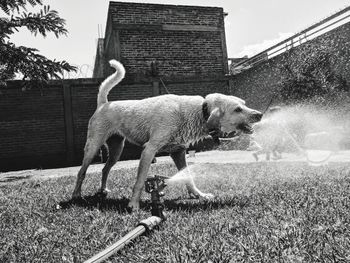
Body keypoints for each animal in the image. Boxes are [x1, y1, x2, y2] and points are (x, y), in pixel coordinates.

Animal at [72, 59, 262, 210]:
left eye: (244, 104)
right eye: (238, 109)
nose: (260, 114)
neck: (199, 111)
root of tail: (104, 103)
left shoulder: (178, 153)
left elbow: (188, 177)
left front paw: (199, 195)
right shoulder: (149, 150)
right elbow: (139, 181)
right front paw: (133, 204)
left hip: (116, 149)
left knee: (105, 169)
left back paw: (103, 190)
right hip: (93, 147)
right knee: (82, 172)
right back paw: (76, 195)